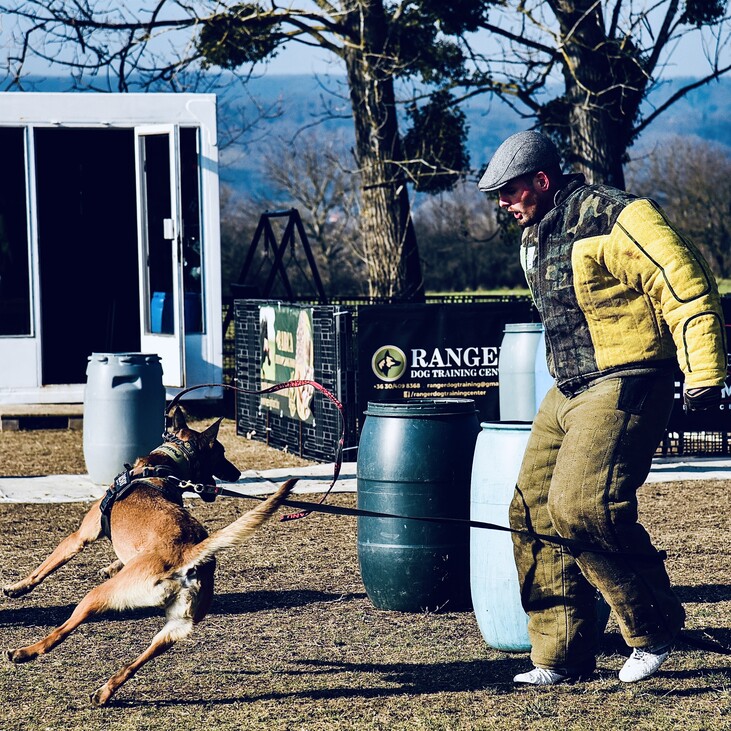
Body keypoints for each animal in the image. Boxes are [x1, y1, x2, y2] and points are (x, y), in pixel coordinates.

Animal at [5, 408, 298, 708]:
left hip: (97, 597)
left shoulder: (80, 537)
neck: (162, 467)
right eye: (222, 452)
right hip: (175, 628)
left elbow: (44, 568)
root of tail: (188, 553)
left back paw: (24, 652)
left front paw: (17, 588)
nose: (237, 473)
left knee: (59, 633)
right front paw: (109, 566)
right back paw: (104, 691)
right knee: (132, 665)